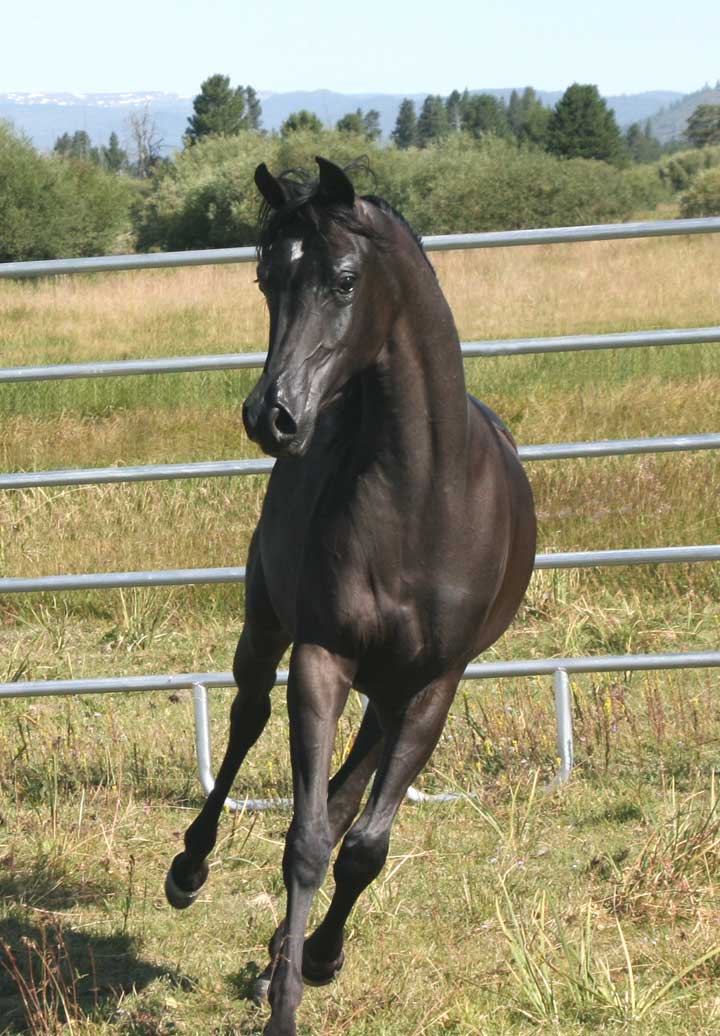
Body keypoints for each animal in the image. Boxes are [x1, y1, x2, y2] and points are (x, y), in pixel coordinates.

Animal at [164, 156, 537, 1036]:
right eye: (265, 277)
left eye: (342, 278)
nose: (271, 416)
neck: (423, 497)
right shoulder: (322, 659)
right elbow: (305, 840)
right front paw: (287, 1002)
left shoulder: (433, 686)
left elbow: (361, 843)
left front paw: (317, 958)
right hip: (267, 628)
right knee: (246, 720)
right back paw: (190, 871)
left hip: (389, 691)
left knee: (348, 797)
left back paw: (284, 953)